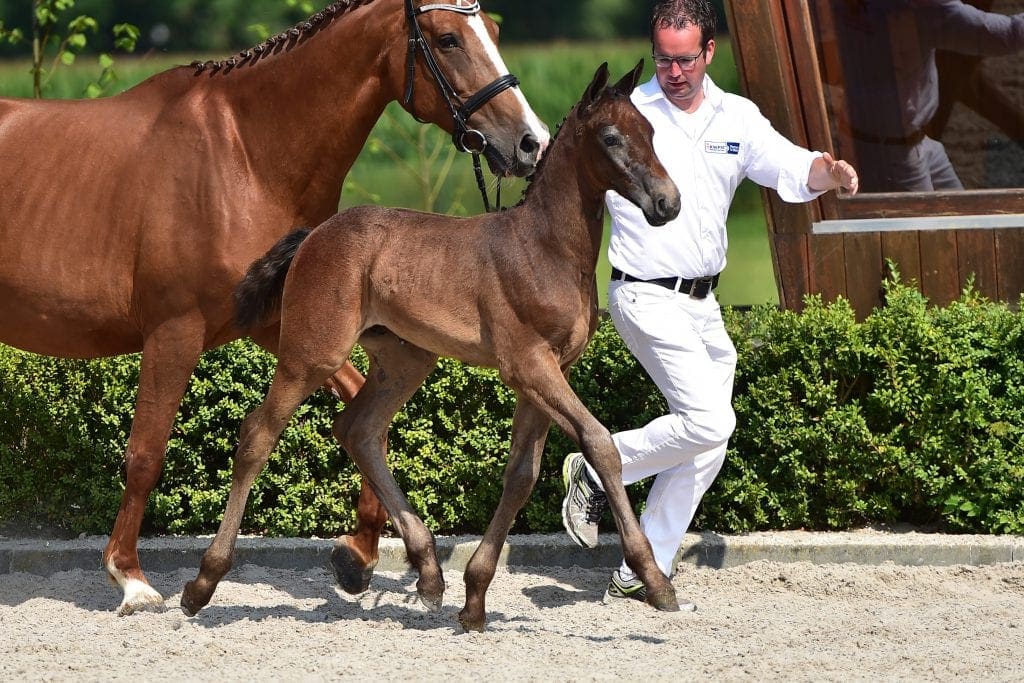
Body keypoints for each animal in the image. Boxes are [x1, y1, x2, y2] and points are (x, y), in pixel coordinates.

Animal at [0, 0, 548, 616]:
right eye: (449, 38)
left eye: (495, 30)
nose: (531, 142)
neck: (244, 153)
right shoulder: (174, 332)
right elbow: (145, 452)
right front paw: (131, 578)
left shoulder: (283, 322)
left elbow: (362, 414)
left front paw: (358, 554)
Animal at [180, 60, 683, 632]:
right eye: (612, 137)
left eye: (651, 132)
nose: (668, 203)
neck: (545, 248)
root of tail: (313, 235)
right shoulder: (528, 364)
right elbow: (600, 444)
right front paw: (654, 580)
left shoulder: (551, 371)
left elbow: (521, 475)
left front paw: (475, 597)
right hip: (313, 353)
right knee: (258, 434)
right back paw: (202, 583)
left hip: (405, 360)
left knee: (358, 429)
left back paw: (428, 572)